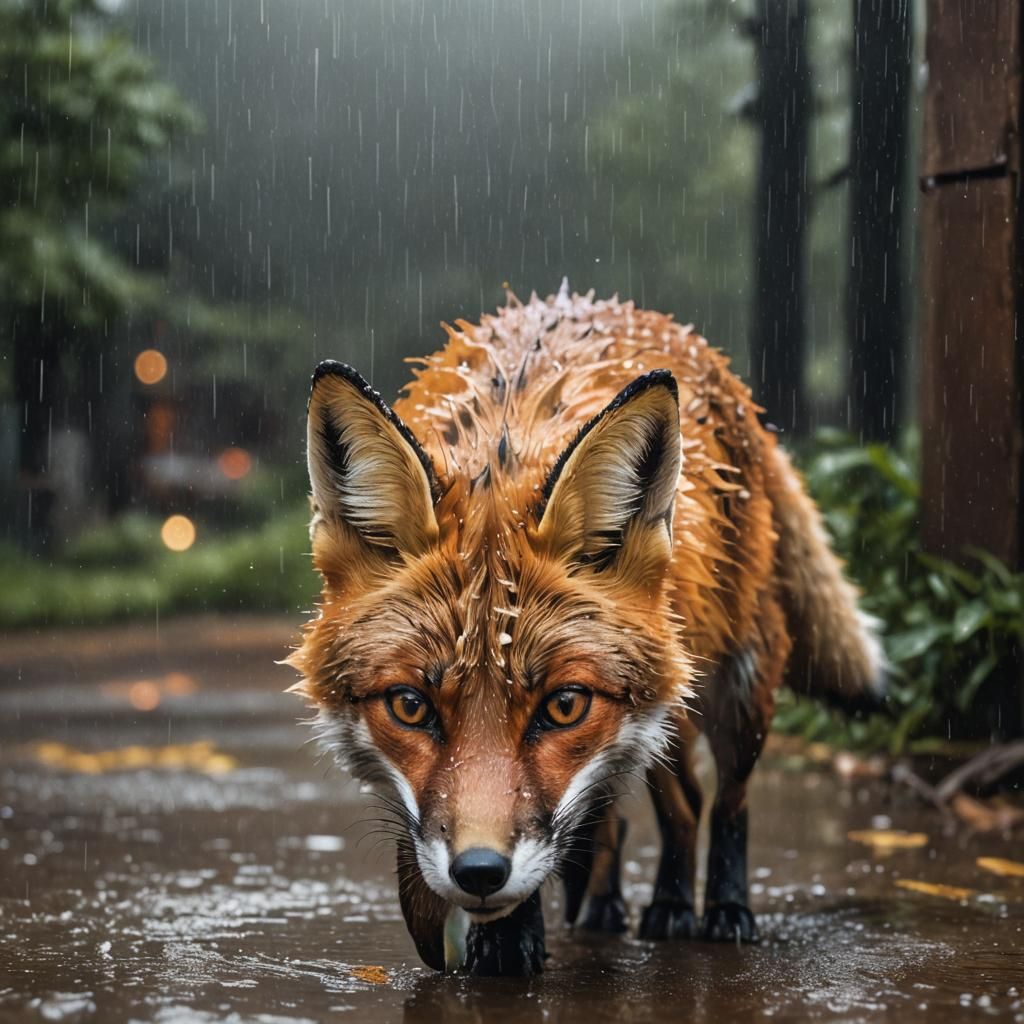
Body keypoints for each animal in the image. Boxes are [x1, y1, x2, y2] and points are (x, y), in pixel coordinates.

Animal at [288, 283, 886, 976]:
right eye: (410, 706)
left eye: (564, 704)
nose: (480, 872)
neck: (503, 444)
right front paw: (510, 940)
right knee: (662, 809)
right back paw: (622, 905)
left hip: (734, 687)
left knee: (724, 802)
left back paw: (714, 911)